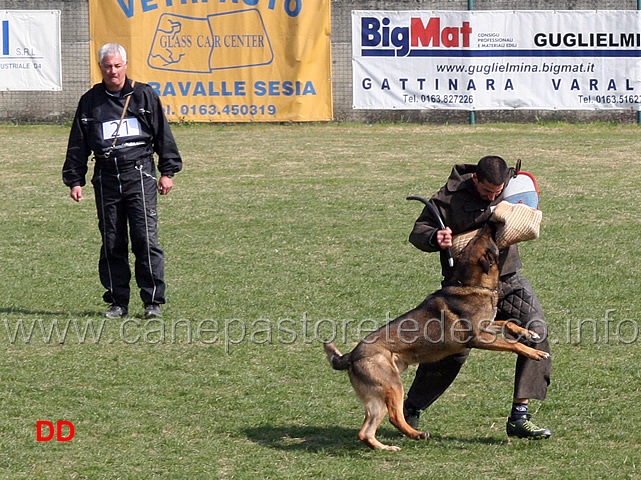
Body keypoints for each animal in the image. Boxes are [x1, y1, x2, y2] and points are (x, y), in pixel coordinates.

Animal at [322, 224, 548, 450]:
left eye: (475, 238)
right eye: (484, 238)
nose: (488, 223)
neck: (471, 284)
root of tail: (351, 356)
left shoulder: (487, 327)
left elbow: (507, 323)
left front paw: (527, 332)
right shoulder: (479, 338)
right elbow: (514, 345)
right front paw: (535, 352)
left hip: (379, 397)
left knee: (365, 432)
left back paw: (385, 446)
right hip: (393, 385)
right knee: (394, 417)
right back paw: (416, 434)